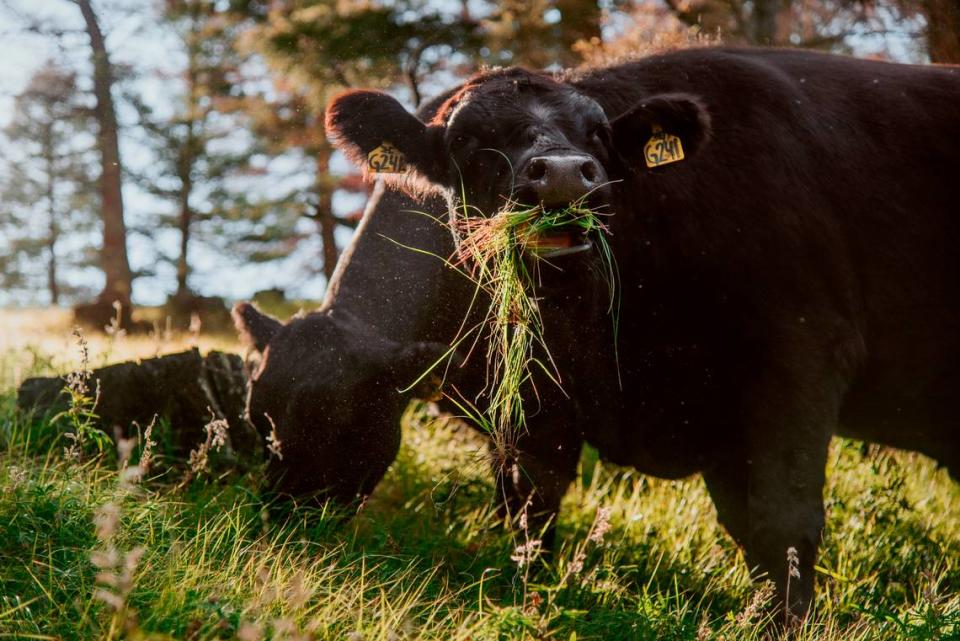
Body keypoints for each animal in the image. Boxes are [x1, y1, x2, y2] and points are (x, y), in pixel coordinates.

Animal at [326, 47, 956, 616]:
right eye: (465, 140)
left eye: (599, 133)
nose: (561, 176)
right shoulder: (539, 399)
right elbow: (532, 513)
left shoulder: (801, 356)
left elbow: (782, 524)